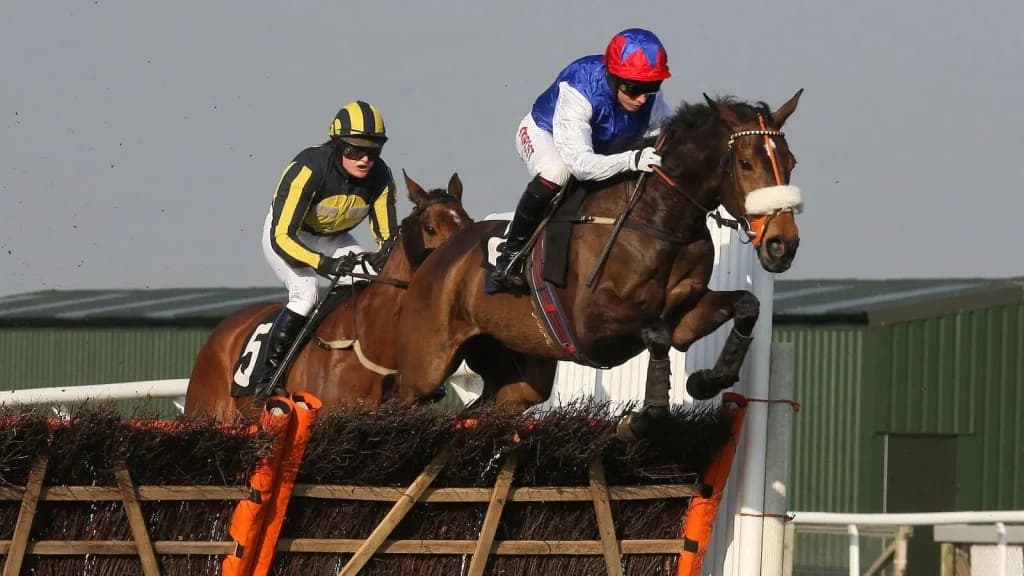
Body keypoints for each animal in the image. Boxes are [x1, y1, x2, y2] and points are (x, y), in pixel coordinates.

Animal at [392, 91, 804, 439]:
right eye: (746, 163)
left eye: (791, 162)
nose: (782, 244)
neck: (658, 218)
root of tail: (435, 259)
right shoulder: (591, 324)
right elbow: (657, 333)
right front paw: (641, 418)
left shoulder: (686, 315)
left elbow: (745, 305)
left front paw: (706, 381)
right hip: (424, 368)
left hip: (517, 377)